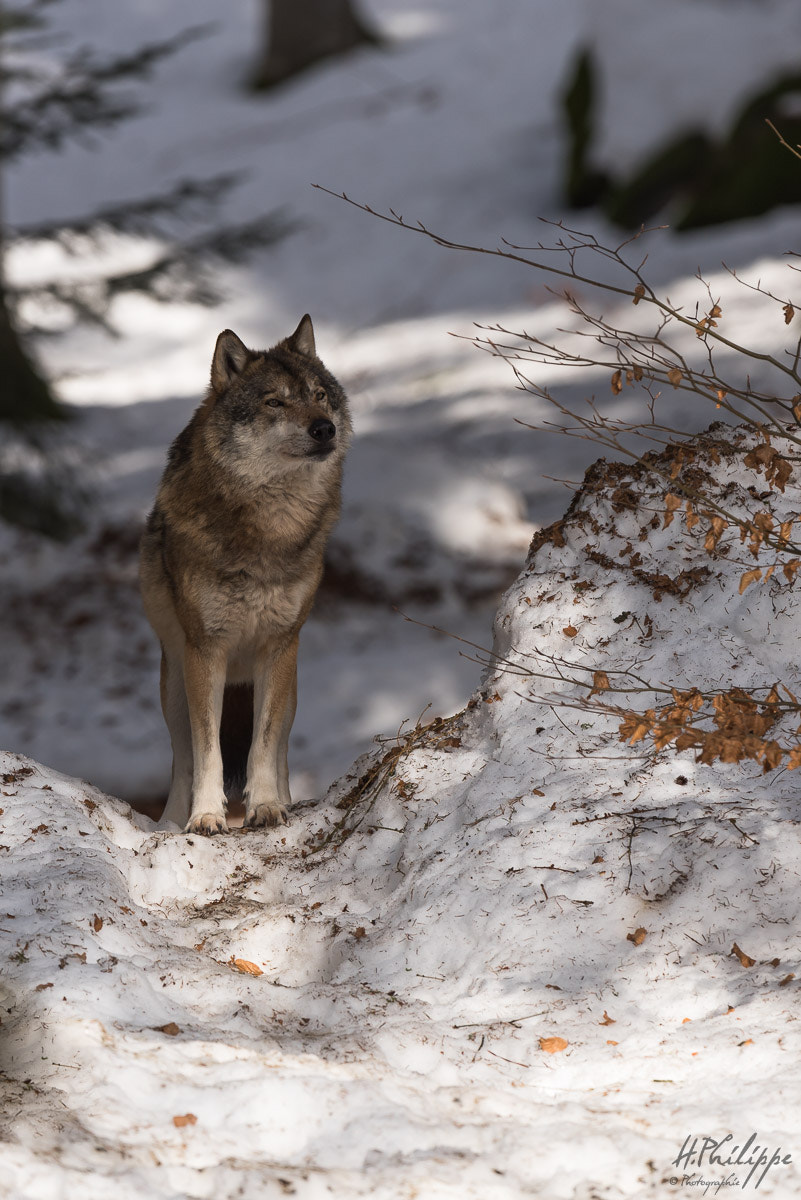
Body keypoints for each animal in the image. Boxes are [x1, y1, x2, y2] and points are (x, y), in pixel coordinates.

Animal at [140, 324, 350, 840]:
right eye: (275, 402)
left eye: (319, 396)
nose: (325, 428)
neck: (270, 528)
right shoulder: (205, 650)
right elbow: (207, 751)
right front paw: (206, 816)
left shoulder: (279, 645)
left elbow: (264, 745)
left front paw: (268, 807)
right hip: (174, 686)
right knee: (182, 759)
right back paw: (170, 822)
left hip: (286, 684)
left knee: (281, 748)